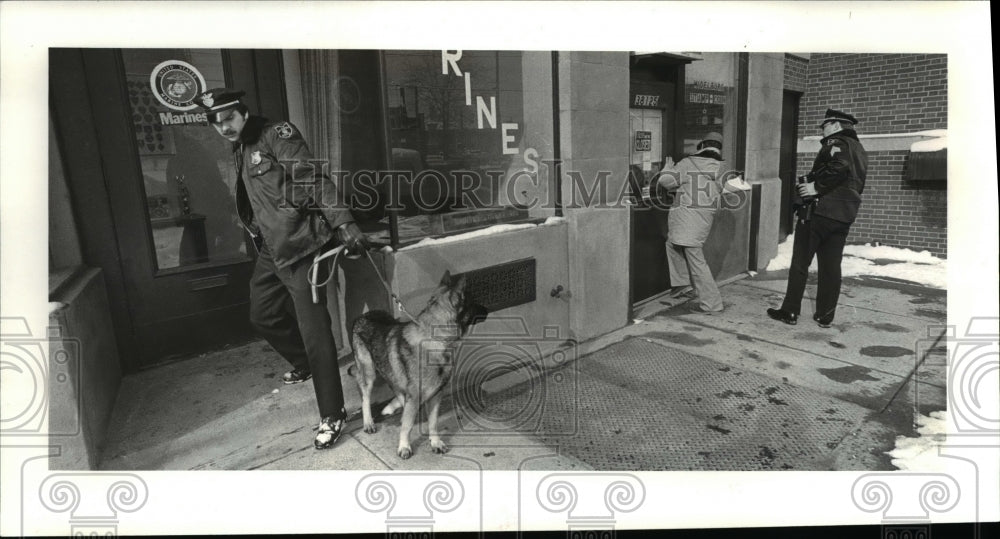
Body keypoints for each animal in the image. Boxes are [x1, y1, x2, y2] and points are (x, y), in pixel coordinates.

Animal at [352, 272, 488, 458]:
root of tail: (365, 315)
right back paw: (368, 422)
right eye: (473, 302)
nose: (487, 310)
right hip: (369, 373)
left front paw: (435, 442)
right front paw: (404, 446)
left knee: (395, 388)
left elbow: (433, 422)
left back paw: (394, 406)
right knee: (365, 398)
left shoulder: (436, 395)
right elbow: (407, 425)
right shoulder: (415, 395)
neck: (435, 339)